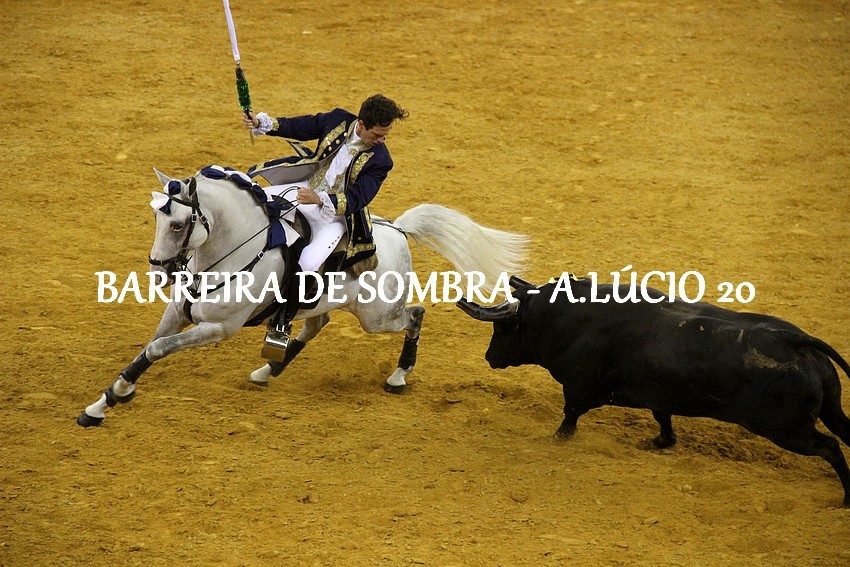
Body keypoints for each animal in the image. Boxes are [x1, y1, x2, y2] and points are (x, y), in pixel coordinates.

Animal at [76, 165, 528, 426]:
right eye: (156, 217)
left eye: (178, 224)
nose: (159, 270)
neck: (231, 250)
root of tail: (397, 230)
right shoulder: (178, 313)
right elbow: (149, 347)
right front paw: (107, 399)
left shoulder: (218, 328)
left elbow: (158, 349)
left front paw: (110, 401)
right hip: (327, 304)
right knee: (315, 324)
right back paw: (267, 370)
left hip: (378, 317)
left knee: (415, 313)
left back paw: (399, 376)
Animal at [457, 275, 850, 505]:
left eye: (503, 329)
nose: (489, 357)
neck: (566, 317)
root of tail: (795, 341)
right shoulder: (656, 392)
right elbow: (663, 419)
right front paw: (661, 443)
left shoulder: (579, 387)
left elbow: (570, 415)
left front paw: (558, 440)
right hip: (830, 410)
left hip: (786, 429)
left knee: (830, 447)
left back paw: (845, 498)